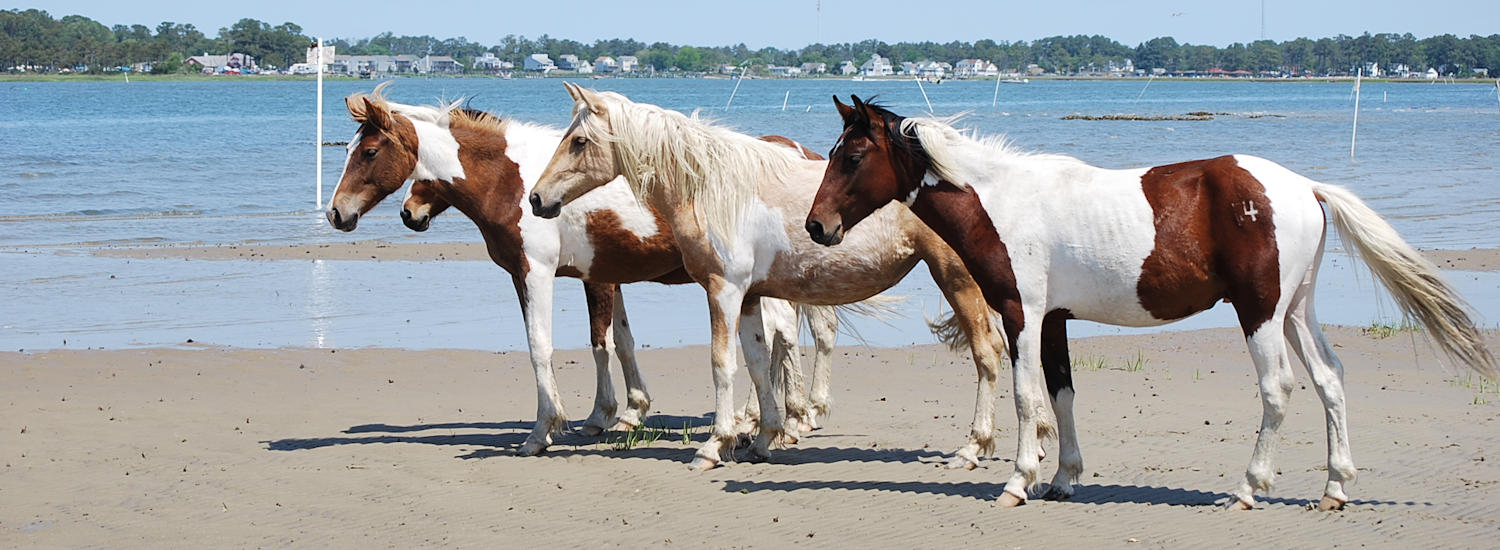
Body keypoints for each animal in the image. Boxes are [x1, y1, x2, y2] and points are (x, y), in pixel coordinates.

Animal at [325, 85, 846, 455]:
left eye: (368, 152)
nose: (336, 213)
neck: (514, 181)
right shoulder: (600, 275)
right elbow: (614, 341)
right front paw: (617, 413)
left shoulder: (535, 273)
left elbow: (544, 347)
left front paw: (544, 430)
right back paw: (773, 419)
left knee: (782, 337)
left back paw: (771, 420)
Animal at [531, 82, 1020, 473]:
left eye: (578, 141)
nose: (537, 199)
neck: (715, 190)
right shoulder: (749, 297)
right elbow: (757, 361)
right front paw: (764, 437)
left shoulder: (723, 291)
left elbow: (722, 364)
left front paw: (714, 446)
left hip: (957, 281)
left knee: (986, 352)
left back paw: (972, 447)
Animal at [804, 95, 1494, 512]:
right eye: (833, 154)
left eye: (854, 156)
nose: (817, 227)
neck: (1004, 200)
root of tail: (1304, 187)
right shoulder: (1054, 322)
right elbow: (1062, 394)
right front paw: (1063, 478)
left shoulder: (1023, 315)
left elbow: (1027, 397)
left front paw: (1019, 482)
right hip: (1297, 311)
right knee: (1330, 379)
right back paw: (1333, 489)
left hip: (1261, 313)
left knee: (1278, 388)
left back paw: (1247, 489)